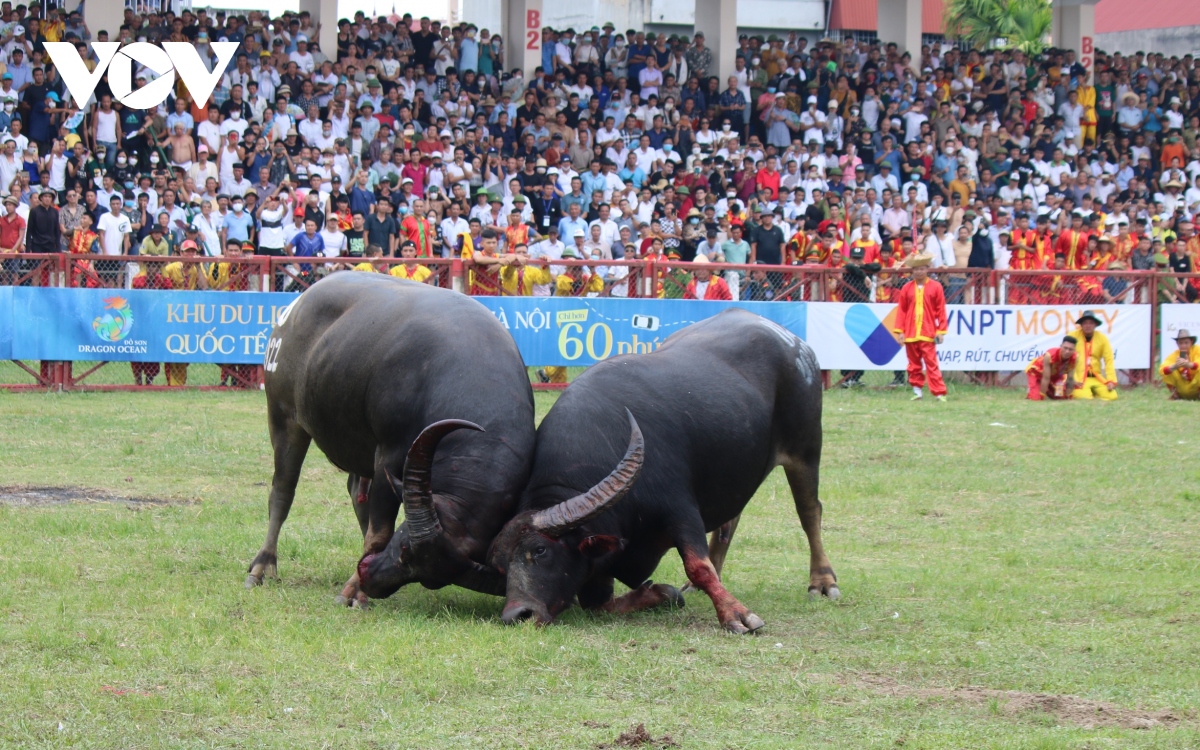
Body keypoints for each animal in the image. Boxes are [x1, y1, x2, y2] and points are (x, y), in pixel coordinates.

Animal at [243, 272, 535, 604]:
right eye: (406, 548)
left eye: (432, 580)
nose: (373, 582)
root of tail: (295, 308)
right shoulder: (391, 455)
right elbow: (380, 531)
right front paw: (352, 592)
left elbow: (377, 526)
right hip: (284, 417)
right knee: (282, 491)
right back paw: (262, 566)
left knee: (356, 494)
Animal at [487, 309, 835, 633]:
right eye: (501, 566)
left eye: (540, 550)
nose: (516, 615)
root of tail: (795, 343)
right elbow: (598, 603)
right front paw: (662, 593)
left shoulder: (681, 510)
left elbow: (697, 566)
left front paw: (737, 614)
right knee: (730, 521)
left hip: (805, 450)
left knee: (809, 512)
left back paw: (823, 582)